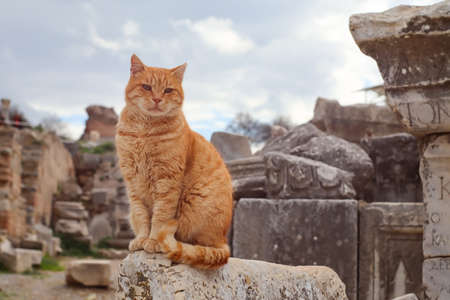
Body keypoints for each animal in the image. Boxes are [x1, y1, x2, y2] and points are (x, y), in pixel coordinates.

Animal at [114, 54, 234, 270]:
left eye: (168, 90)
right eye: (147, 87)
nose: (157, 99)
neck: (144, 131)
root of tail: (224, 240)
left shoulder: (167, 181)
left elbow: (160, 216)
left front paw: (153, 241)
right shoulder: (133, 184)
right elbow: (143, 216)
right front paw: (142, 239)